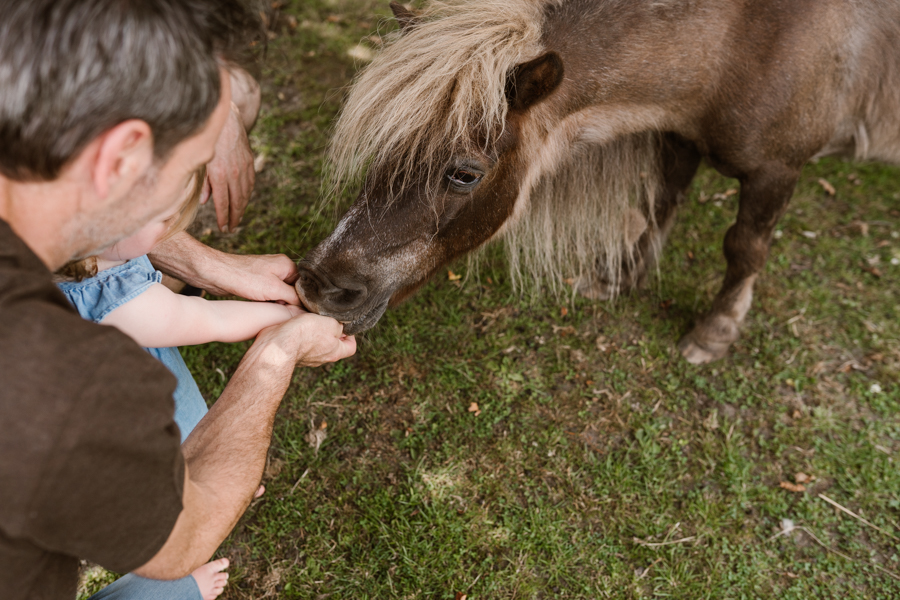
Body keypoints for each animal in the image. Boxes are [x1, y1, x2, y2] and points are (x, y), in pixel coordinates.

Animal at [295, 0, 900, 364]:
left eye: (464, 174)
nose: (319, 283)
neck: (745, 38)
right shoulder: (680, 137)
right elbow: (660, 205)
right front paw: (621, 277)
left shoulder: (776, 170)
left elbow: (744, 248)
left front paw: (715, 331)